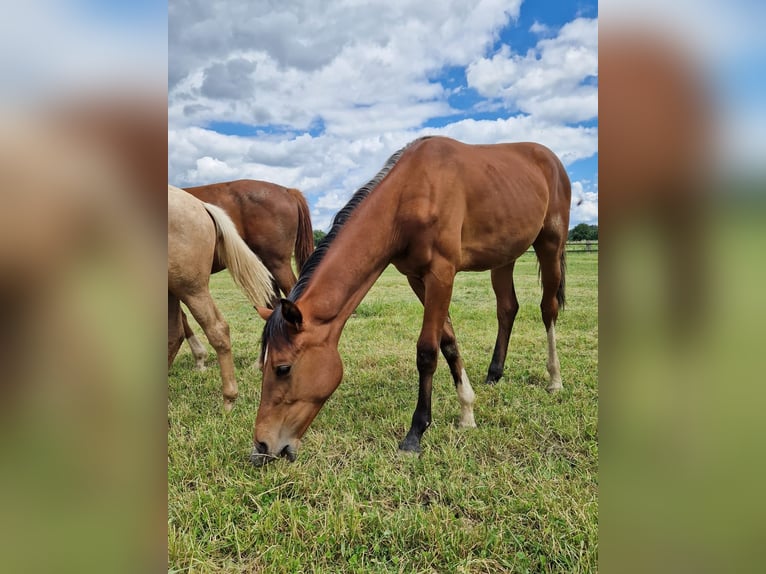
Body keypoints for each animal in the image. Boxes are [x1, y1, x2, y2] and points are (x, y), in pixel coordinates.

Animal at [255, 137, 572, 466]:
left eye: (283, 368)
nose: (262, 447)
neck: (410, 194)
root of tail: (549, 158)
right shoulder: (417, 278)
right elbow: (448, 341)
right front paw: (467, 412)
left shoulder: (441, 275)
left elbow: (427, 351)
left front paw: (415, 434)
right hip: (504, 257)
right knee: (507, 308)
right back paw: (494, 373)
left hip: (550, 244)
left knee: (548, 309)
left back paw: (555, 379)